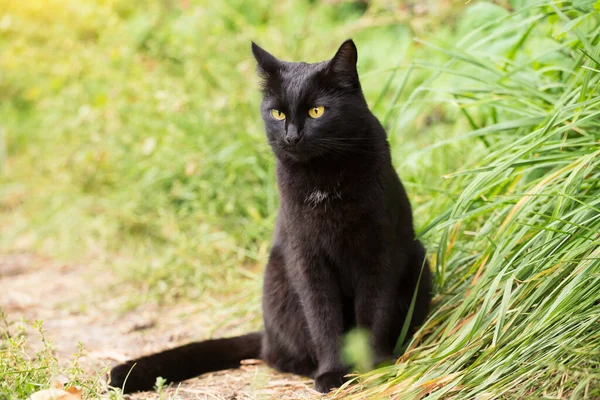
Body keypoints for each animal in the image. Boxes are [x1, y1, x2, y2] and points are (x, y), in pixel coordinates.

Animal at [110, 39, 432, 396]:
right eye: (277, 113)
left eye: (316, 111)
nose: (291, 136)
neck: (324, 179)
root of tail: (265, 332)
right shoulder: (306, 258)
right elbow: (323, 318)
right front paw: (333, 373)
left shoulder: (380, 250)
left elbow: (374, 312)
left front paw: (374, 366)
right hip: (279, 277)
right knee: (278, 355)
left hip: (418, 258)